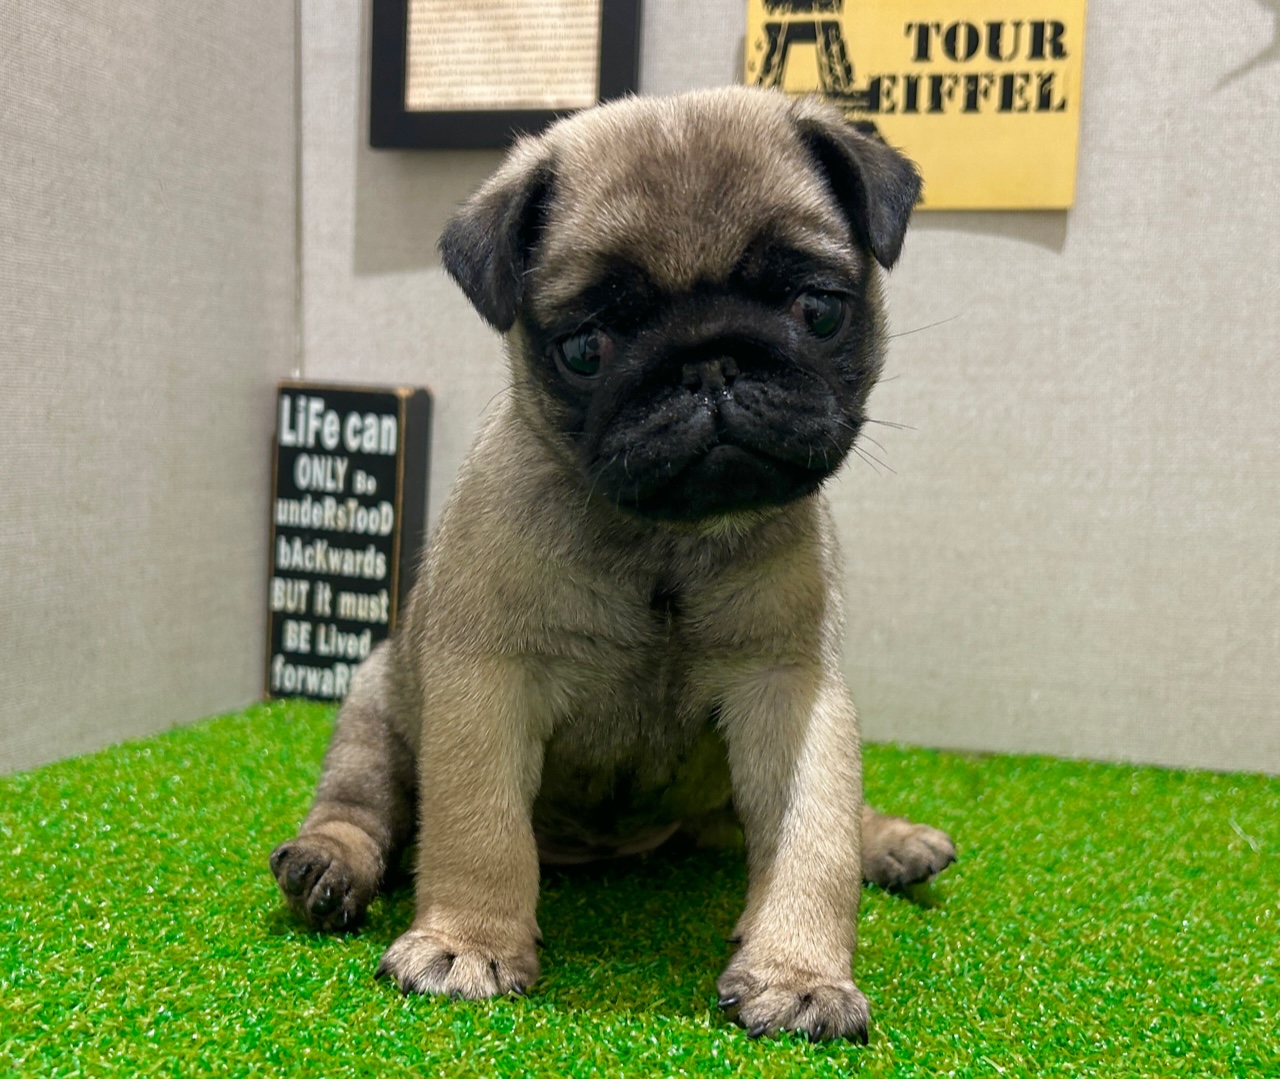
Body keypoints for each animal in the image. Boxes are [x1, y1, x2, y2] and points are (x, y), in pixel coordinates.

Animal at [270, 86, 955, 1043]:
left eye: (818, 310)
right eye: (586, 348)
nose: (710, 363)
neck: (662, 540)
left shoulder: (790, 690)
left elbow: (812, 839)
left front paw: (799, 972)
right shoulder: (487, 682)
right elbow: (479, 829)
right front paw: (468, 943)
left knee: (837, 822)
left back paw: (889, 840)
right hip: (374, 704)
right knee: (363, 802)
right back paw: (329, 864)